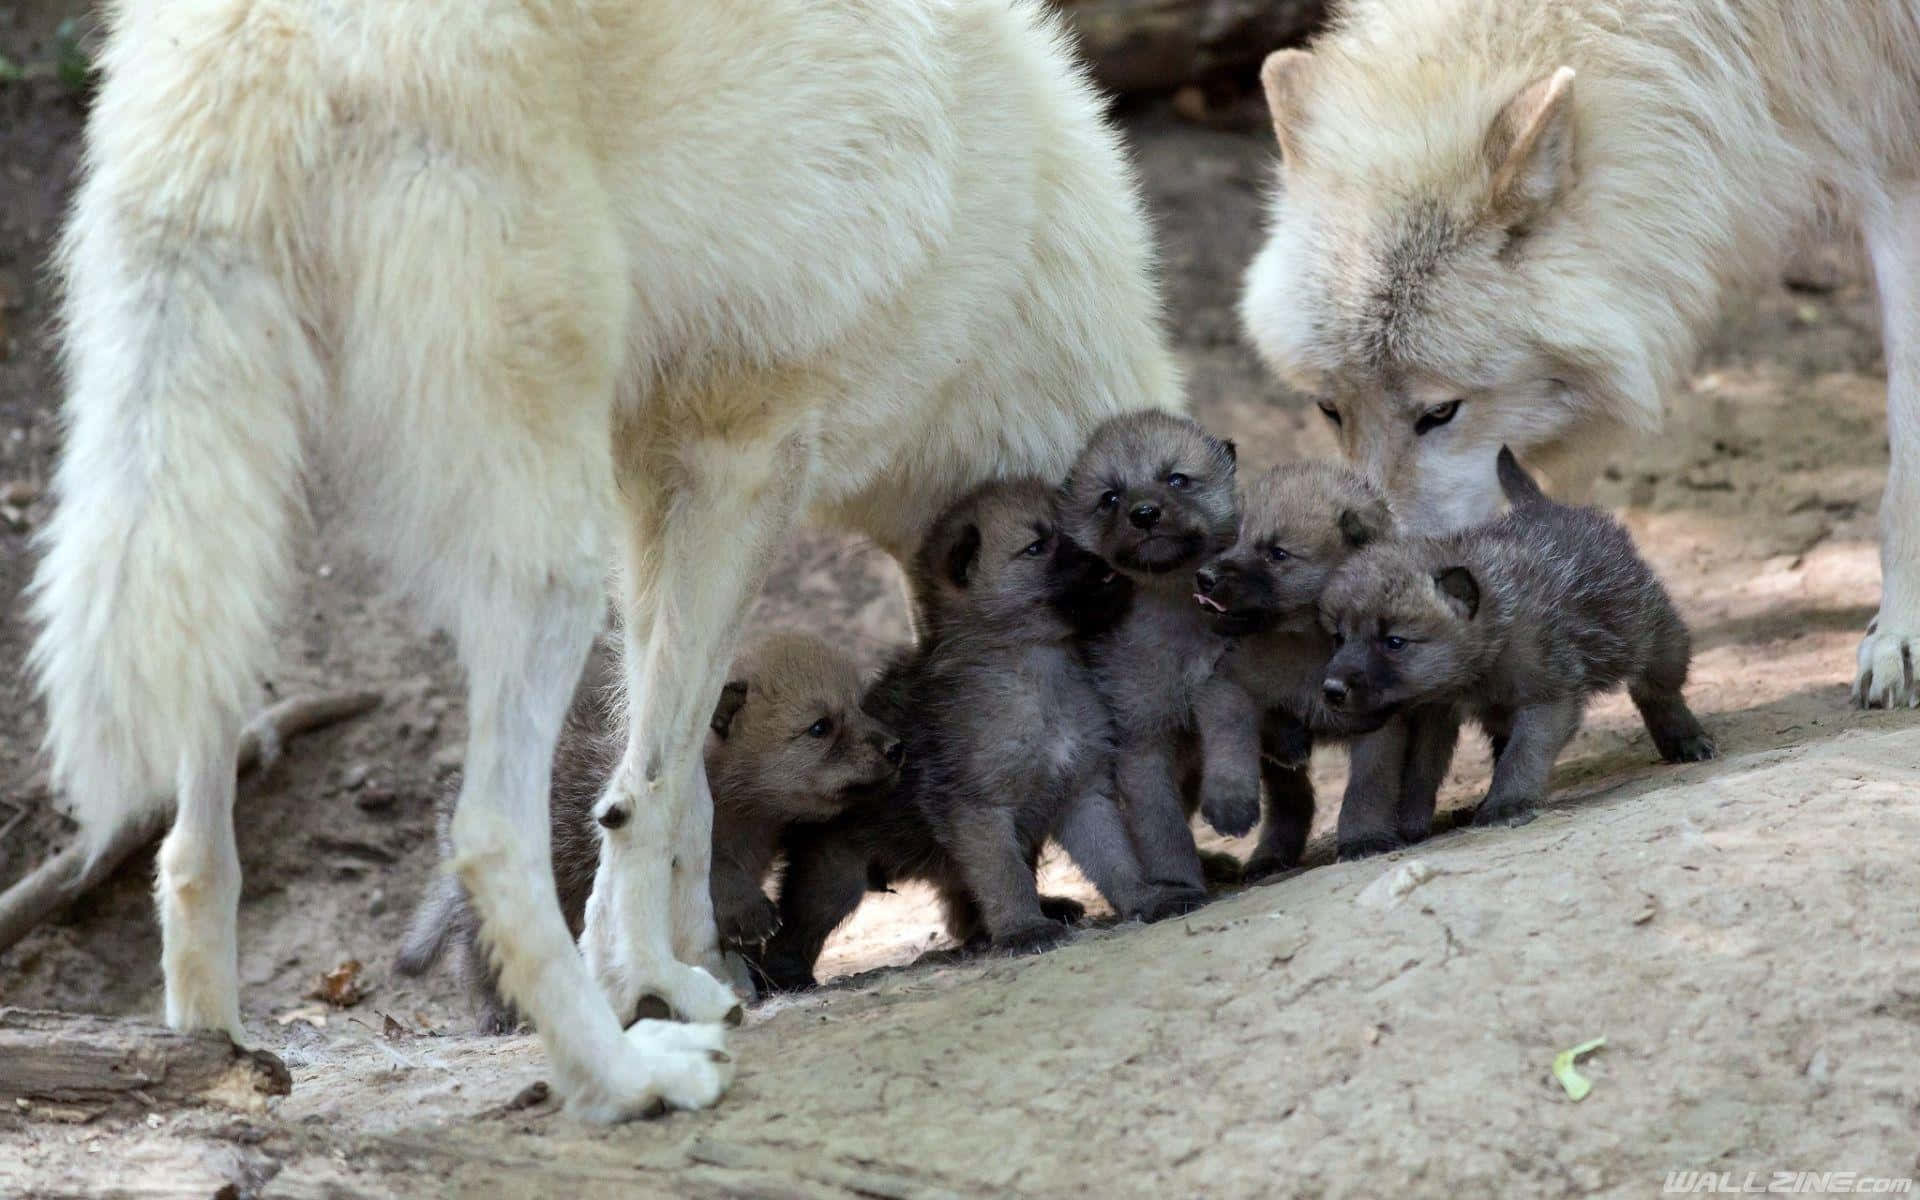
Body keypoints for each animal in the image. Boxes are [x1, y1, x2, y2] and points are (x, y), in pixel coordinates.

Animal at [395, 632, 902, 1033]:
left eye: (860, 706)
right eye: (820, 727)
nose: (895, 746)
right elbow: (717, 878)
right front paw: (753, 924)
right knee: (477, 960)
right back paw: (498, 1016)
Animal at [756, 477, 1163, 992]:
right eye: (1037, 546)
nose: (1104, 553)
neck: (1037, 670)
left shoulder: (1083, 794)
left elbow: (1114, 856)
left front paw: (1144, 899)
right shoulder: (978, 810)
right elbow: (1004, 876)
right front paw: (1024, 929)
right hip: (832, 875)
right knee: (796, 929)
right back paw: (784, 975)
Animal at [1238, 0, 1920, 710]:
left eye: (1440, 412)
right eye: (1329, 410)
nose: (1365, 591)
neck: (1757, 31)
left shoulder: (1893, 147)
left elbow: (1906, 463)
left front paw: (1899, 635)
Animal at [1317, 447, 1716, 831]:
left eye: (1394, 642)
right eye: (1339, 638)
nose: (1332, 689)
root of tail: (1541, 504)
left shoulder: (1548, 699)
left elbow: (1522, 756)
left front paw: (1505, 804)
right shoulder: (1436, 714)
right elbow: (1421, 771)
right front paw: (1409, 822)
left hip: (1655, 635)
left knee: (1658, 689)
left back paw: (1685, 738)